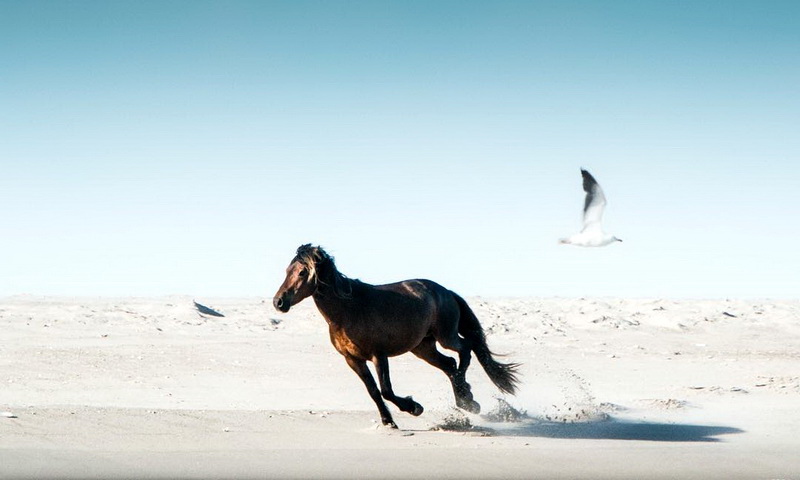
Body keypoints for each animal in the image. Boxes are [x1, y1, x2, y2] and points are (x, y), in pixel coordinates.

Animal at [270, 244, 520, 428]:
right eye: (286, 271)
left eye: (303, 271)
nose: (278, 302)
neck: (348, 310)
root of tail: (445, 291)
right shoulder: (353, 360)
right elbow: (373, 391)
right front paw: (388, 421)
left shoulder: (378, 355)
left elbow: (386, 390)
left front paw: (414, 407)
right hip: (423, 347)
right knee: (450, 364)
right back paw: (466, 400)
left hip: (445, 336)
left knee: (466, 349)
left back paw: (465, 396)